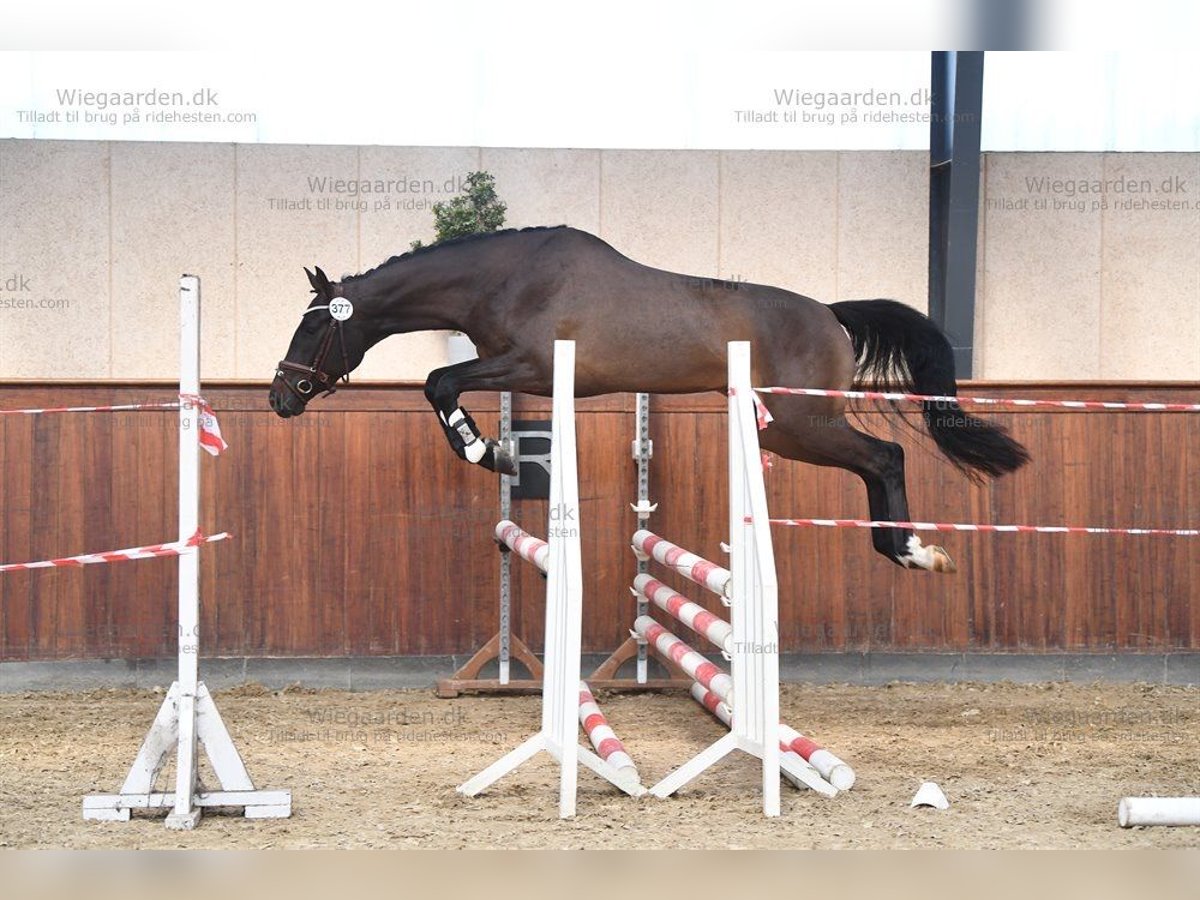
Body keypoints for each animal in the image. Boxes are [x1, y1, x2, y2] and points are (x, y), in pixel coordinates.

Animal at [270, 224, 1032, 571]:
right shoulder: (525, 372)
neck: (504, 278)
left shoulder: (531, 366)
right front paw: (499, 453)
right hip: (786, 428)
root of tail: (832, 314)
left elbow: (440, 383)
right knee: (878, 461)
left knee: (885, 457)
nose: (282, 396)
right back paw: (901, 549)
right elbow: (443, 383)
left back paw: (913, 552)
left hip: (800, 422)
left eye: (311, 326)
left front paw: (492, 454)